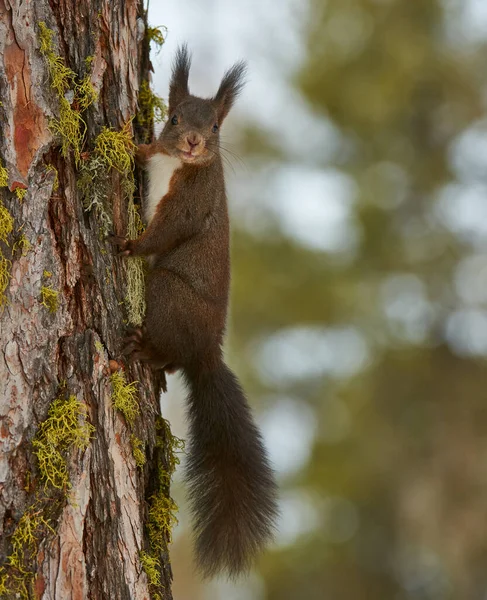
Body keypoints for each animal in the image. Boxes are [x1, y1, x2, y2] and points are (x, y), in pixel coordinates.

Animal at [111, 47, 278, 580]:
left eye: (216, 127)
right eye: (175, 117)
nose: (191, 142)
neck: (176, 165)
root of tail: (206, 351)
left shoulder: (189, 203)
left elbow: (164, 234)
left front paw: (129, 246)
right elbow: (142, 152)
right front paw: (127, 140)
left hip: (166, 294)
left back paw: (143, 346)